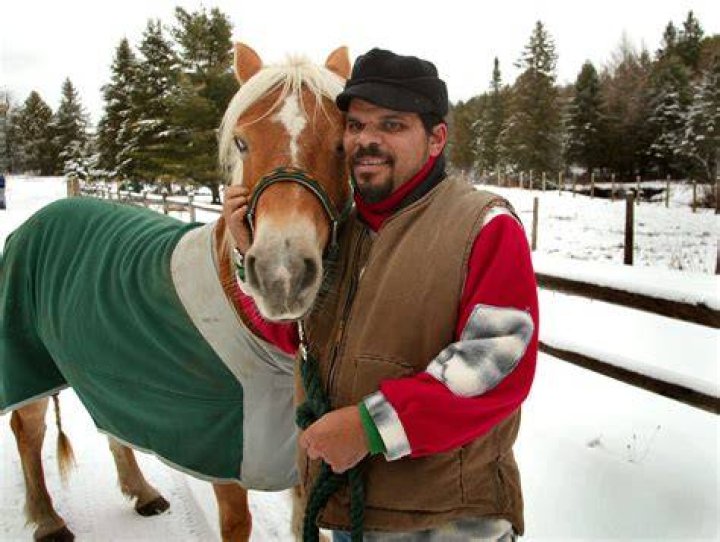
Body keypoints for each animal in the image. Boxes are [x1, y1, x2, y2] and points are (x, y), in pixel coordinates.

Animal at [0, 42, 351, 542]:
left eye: (343, 143)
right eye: (241, 141)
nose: (281, 274)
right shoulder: (226, 454)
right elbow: (237, 522)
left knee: (112, 423)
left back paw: (142, 491)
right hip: (28, 361)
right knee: (28, 431)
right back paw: (49, 519)